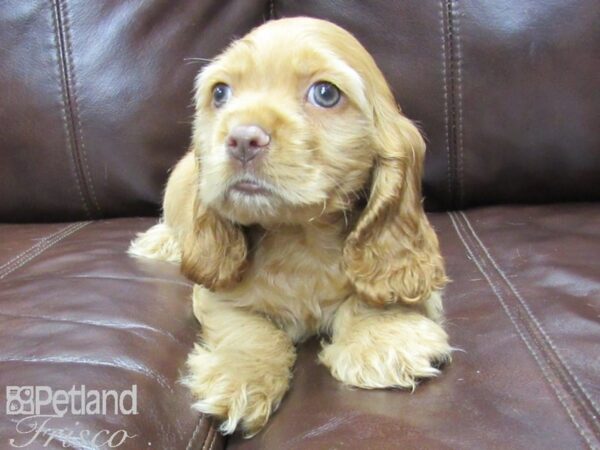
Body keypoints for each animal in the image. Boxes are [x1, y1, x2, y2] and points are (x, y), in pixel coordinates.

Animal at [130, 16, 450, 436]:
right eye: (220, 93)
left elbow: (373, 296)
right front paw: (240, 377)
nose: (242, 138)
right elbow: (249, 330)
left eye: (326, 94)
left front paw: (384, 340)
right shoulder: (215, 297)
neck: (301, 238)